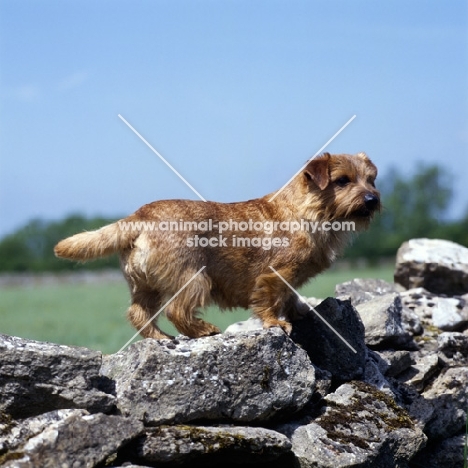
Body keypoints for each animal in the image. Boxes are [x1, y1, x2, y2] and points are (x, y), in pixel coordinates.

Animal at [54, 154, 378, 340]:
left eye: (371, 179)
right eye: (342, 181)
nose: (373, 199)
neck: (308, 213)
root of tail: (139, 216)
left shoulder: (290, 278)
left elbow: (290, 298)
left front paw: (299, 311)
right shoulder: (275, 274)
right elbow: (270, 300)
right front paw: (275, 323)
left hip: (146, 285)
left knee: (138, 313)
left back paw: (159, 338)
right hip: (195, 278)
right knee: (176, 311)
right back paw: (203, 330)